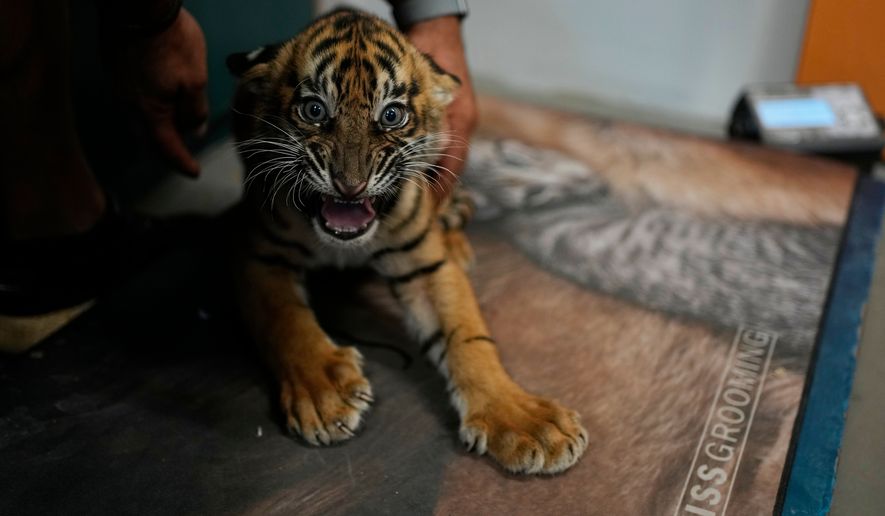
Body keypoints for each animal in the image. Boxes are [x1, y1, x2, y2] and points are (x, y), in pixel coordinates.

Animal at [226, 8, 587, 475]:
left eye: (392, 115)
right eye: (314, 110)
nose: (350, 185)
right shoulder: (260, 254)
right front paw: (323, 394)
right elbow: (287, 321)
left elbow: (469, 338)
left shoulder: (425, 264)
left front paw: (523, 420)